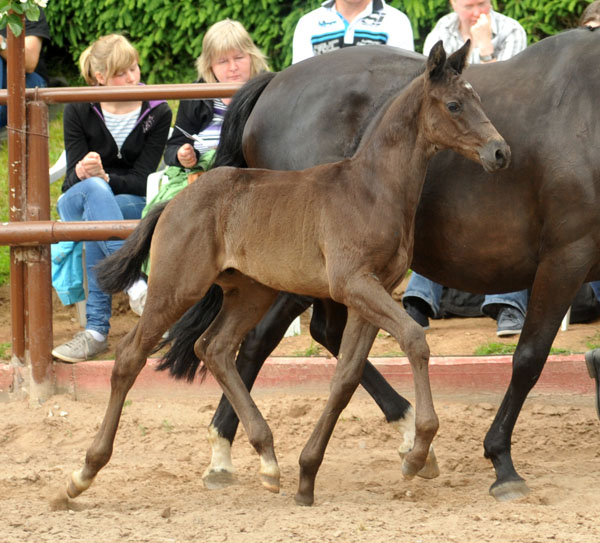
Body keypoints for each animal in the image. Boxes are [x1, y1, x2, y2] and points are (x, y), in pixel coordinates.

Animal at [65, 40, 508, 508]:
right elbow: (414, 340)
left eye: (478, 98)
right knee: (130, 356)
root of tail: (173, 202)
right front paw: (418, 449)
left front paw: (307, 475)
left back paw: (268, 459)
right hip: (177, 287)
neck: (372, 188)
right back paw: (83, 473)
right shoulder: (354, 284)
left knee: (215, 348)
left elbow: (347, 374)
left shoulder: (372, 292)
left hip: (251, 293)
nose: (500, 152)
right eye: (454, 104)